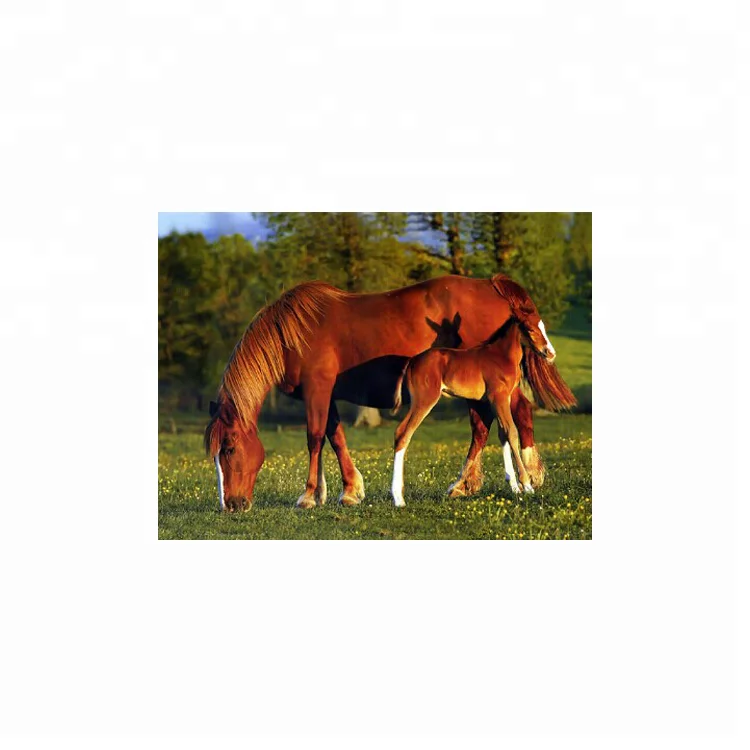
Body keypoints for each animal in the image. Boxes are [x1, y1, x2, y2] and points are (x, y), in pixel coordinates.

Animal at [390, 318, 543, 507]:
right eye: (530, 328)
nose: (547, 351)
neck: (502, 356)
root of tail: (411, 362)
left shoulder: (501, 400)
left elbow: (503, 434)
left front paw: (514, 487)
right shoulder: (498, 398)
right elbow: (512, 432)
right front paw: (526, 485)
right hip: (424, 400)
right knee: (403, 433)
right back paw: (398, 498)